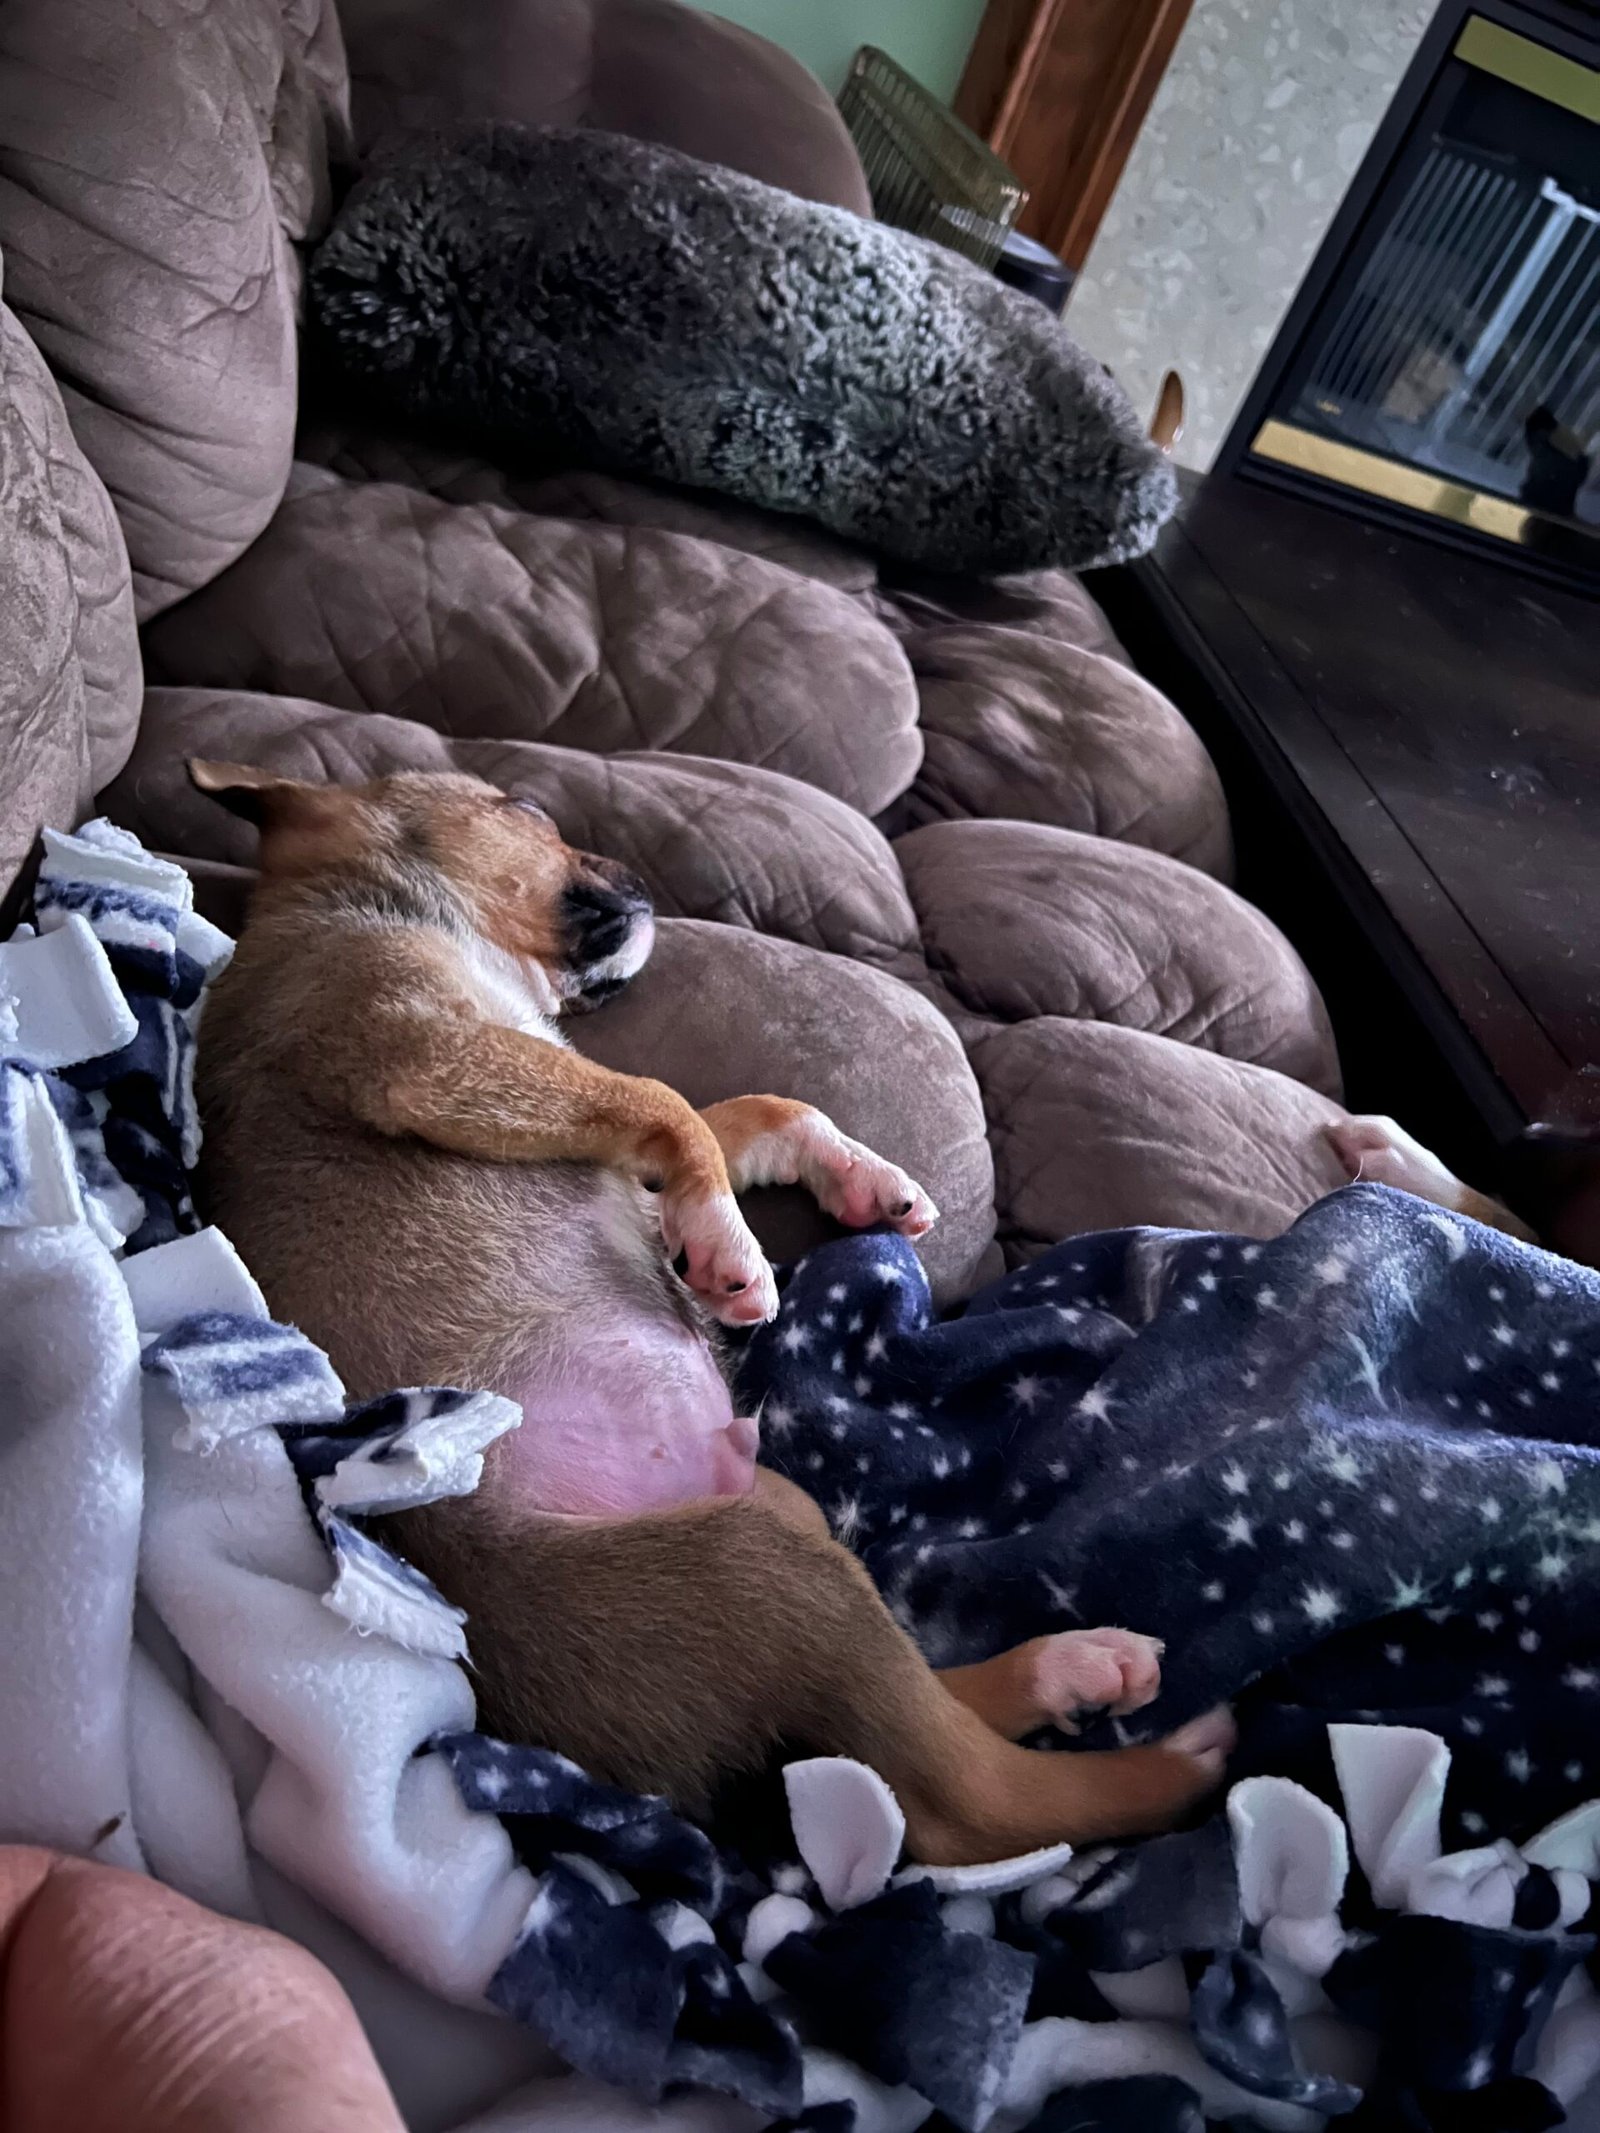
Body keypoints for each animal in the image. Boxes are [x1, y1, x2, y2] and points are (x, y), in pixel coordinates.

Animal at [188, 762, 1236, 1866]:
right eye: (525, 809)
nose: (638, 874)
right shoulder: (428, 1054)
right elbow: (666, 1100)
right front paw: (729, 1251)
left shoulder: (567, 1098)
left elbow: (745, 1112)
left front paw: (854, 1184)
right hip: (761, 1573)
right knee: (960, 1797)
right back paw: (1173, 1761)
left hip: (789, 1522)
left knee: (917, 1703)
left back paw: (1069, 1670)